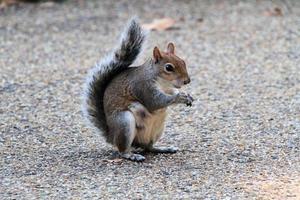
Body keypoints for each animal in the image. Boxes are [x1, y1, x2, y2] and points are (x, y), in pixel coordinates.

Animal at [82, 18, 195, 162]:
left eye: (183, 61)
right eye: (168, 67)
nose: (187, 81)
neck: (162, 82)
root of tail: (111, 135)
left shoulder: (168, 88)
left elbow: (171, 93)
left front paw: (187, 95)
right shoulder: (143, 87)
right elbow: (155, 102)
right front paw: (179, 97)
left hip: (158, 128)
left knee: (148, 147)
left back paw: (163, 148)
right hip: (124, 122)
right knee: (123, 150)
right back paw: (132, 155)